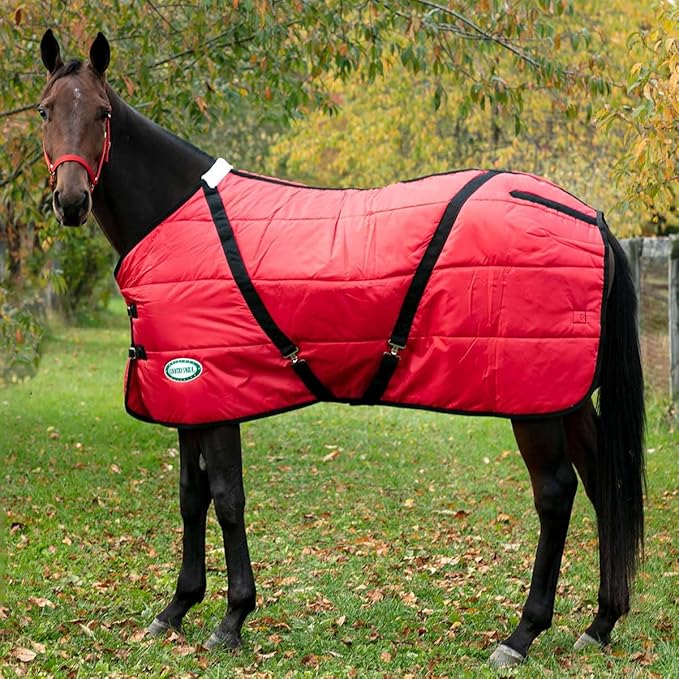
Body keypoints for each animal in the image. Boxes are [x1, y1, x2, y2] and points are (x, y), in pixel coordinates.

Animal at [36, 30, 645, 669]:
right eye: (45, 111)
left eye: (102, 114)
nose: (71, 202)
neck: (175, 215)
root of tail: (591, 217)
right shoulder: (190, 399)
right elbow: (190, 497)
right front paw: (177, 609)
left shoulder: (216, 392)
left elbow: (227, 498)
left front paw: (232, 619)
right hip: (563, 395)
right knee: (602, 481)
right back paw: (601, 622)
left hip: (533, 401)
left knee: (555, 494)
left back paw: (523, 634)